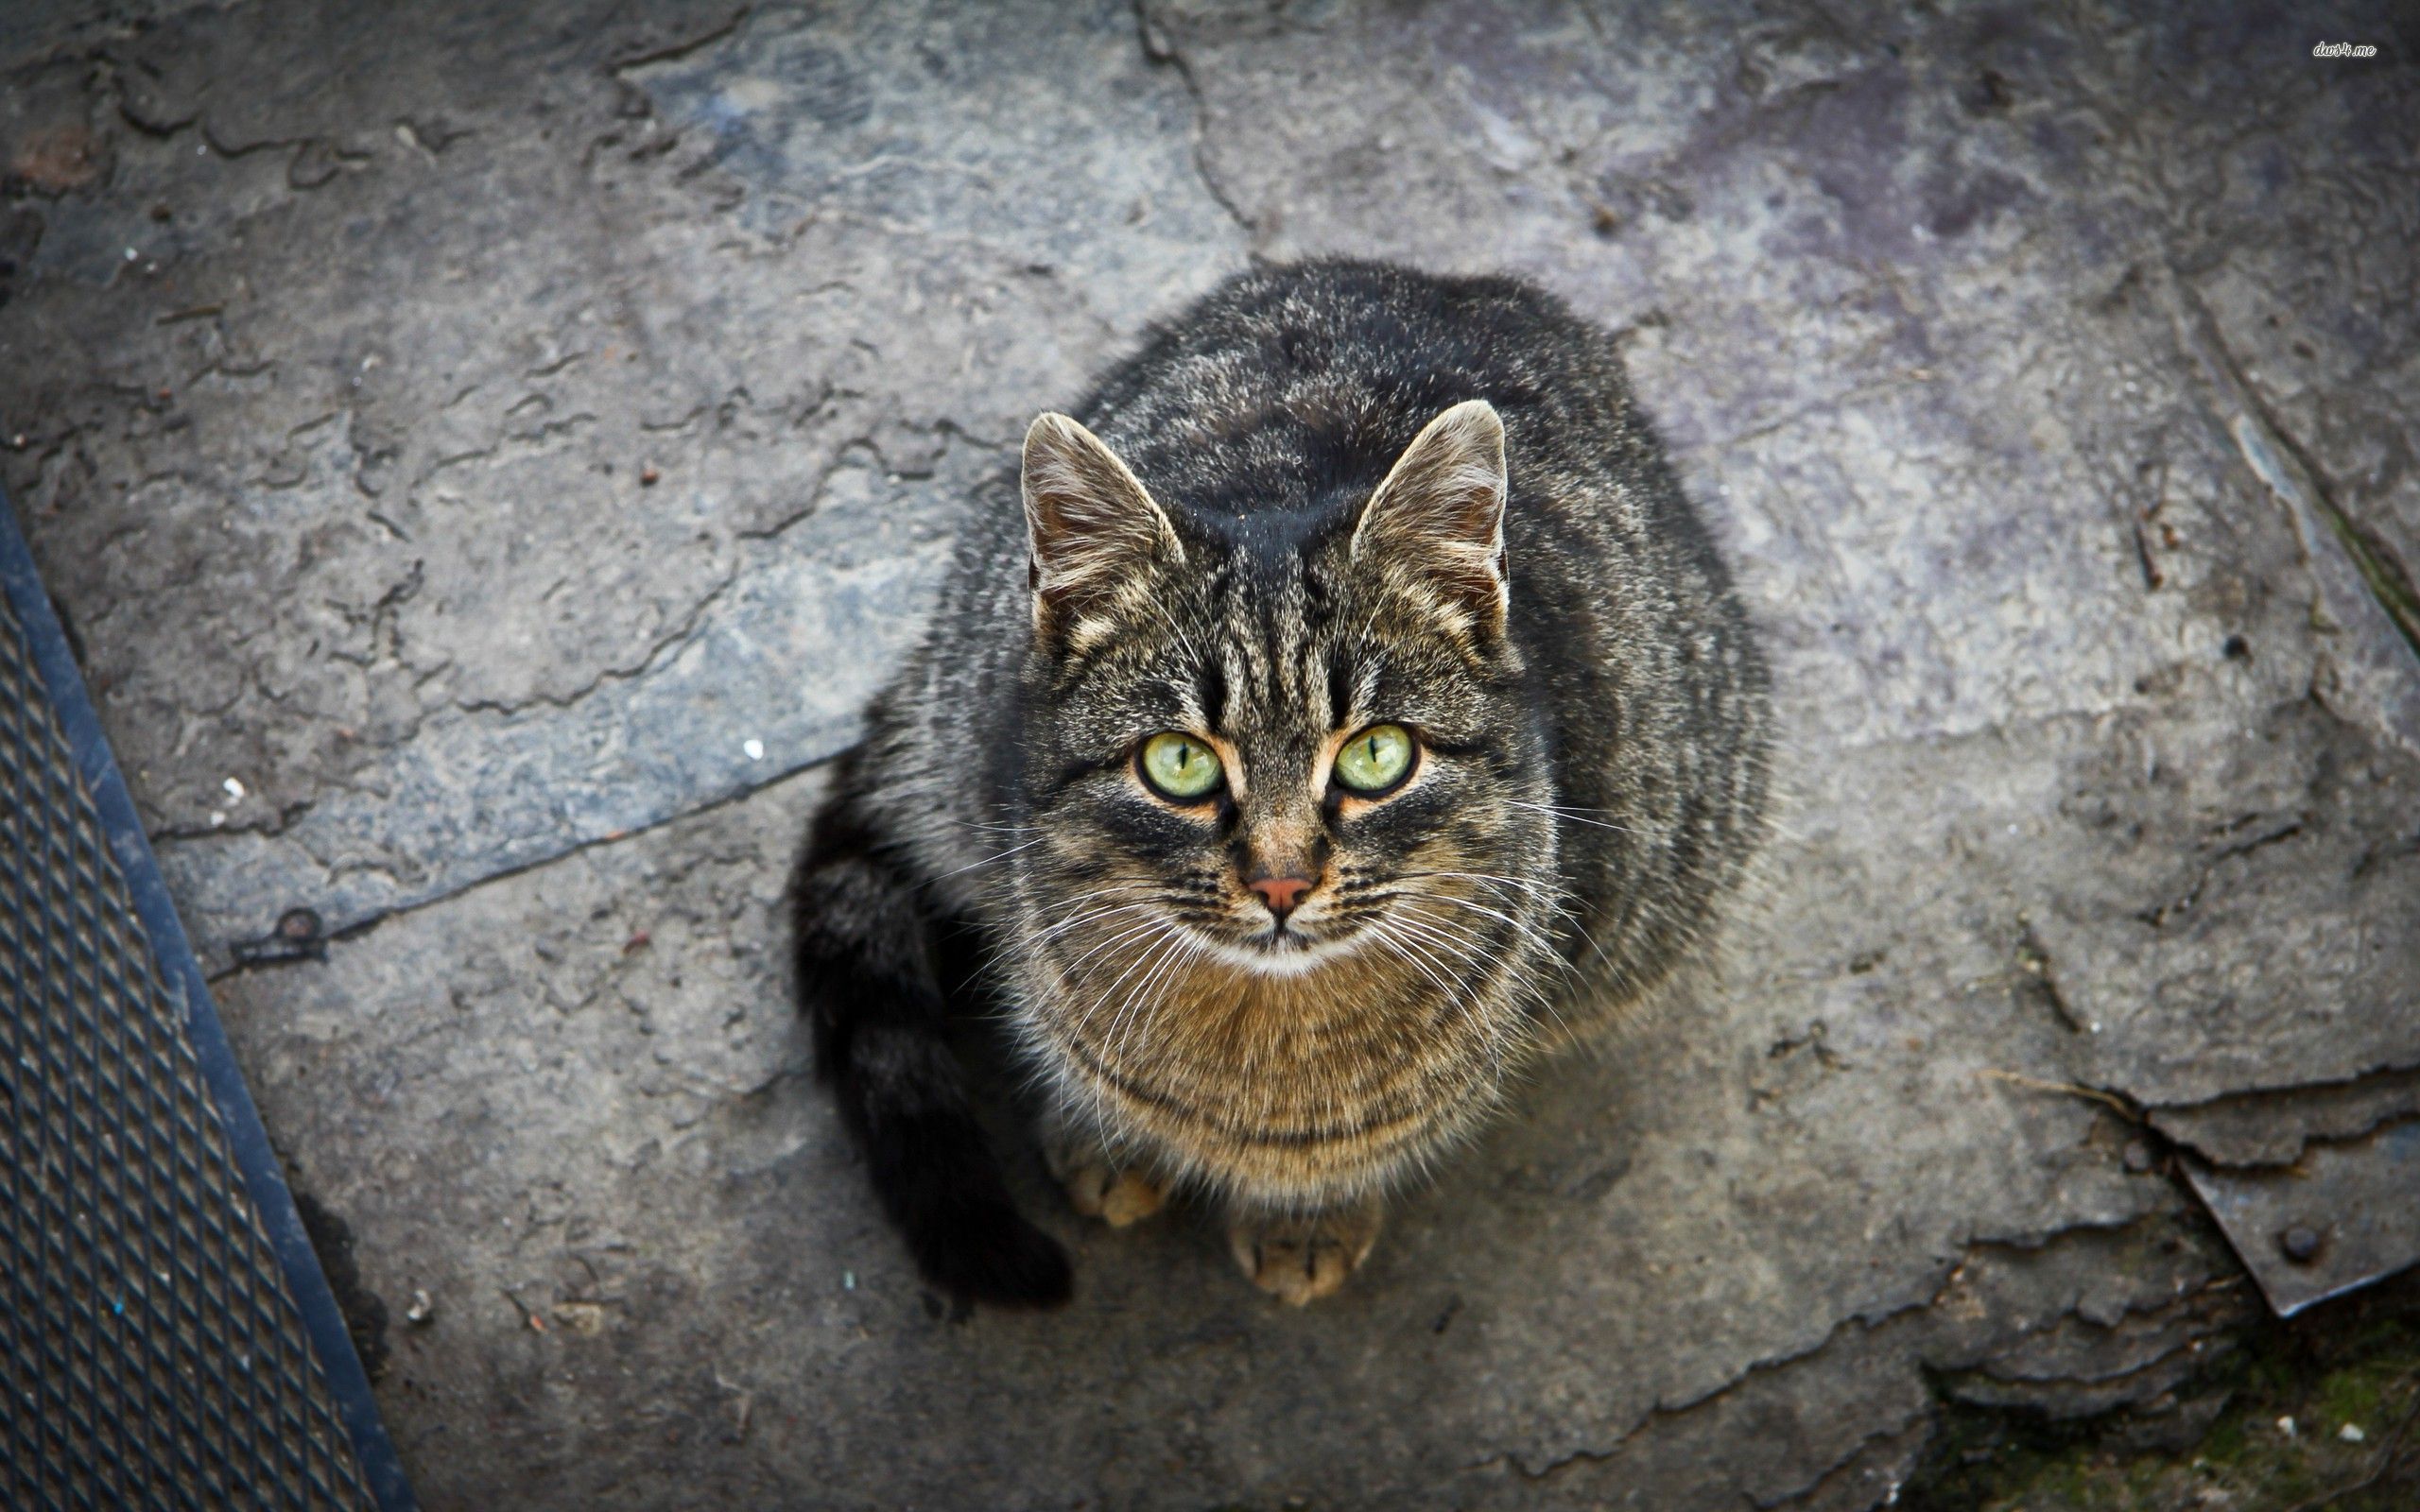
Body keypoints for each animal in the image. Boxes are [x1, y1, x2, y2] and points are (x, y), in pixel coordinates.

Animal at [798, 256, 1781, 1297]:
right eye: (1180, 762)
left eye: (1376, 754)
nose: (1280, 882)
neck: (1261, 1043)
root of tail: (1453, 278)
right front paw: (1104, 1143)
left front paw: (1306, 1219)